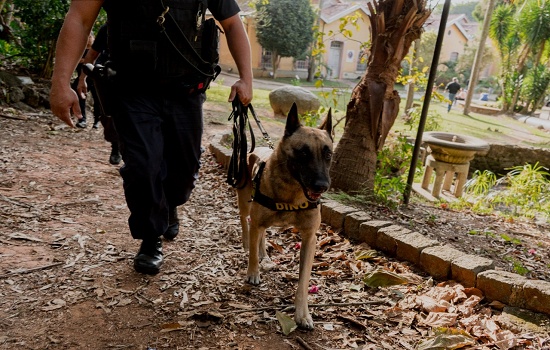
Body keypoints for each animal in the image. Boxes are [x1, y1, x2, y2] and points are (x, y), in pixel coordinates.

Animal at [236, 102, 334, 330]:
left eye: (328, 155)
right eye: (303, 153)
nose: (322, 186)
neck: (292, 195)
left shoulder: (309, 238)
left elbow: (303, 282)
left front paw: (303, 314)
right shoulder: (256, 220)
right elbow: (252, 252)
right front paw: (253, 272)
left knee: (262, 234)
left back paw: (263, 253)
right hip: (245, 202)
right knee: (245, 222)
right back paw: (247, 244)